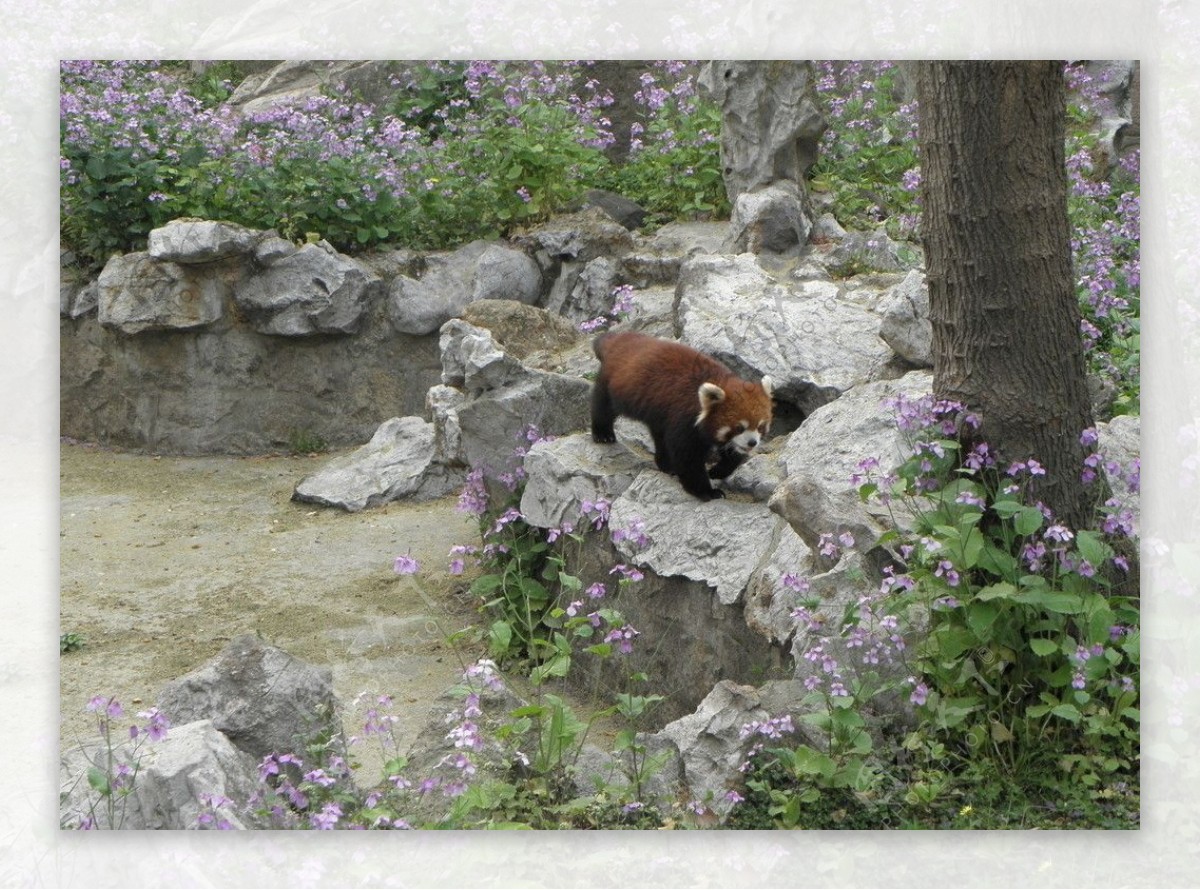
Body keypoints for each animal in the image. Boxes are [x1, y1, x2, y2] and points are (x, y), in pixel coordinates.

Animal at [592, 335, 777, 501]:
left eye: (760, 426)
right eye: (739, 427)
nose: (752, 442)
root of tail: (623, 339)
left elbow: (733, 453)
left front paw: (718, 471)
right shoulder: (684, 418)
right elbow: (688, 457)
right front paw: (706, 492)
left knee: (660, 436)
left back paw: (667, 464)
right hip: (615, 385)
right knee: (603, 406)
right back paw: (603, 434)